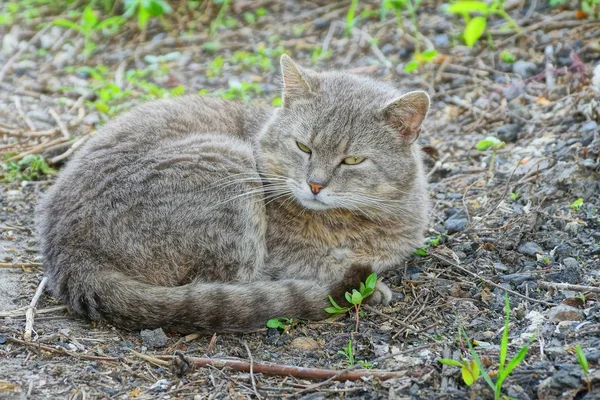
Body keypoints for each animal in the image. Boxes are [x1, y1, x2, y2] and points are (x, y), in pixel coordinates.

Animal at [36, 54, 432, 332]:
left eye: (352, 160)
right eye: (303, 147)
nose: (315, 184)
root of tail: (70, 252)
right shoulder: (281, 253)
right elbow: (320, 261)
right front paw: (368, 284)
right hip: (227, 166)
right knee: (226, 286)